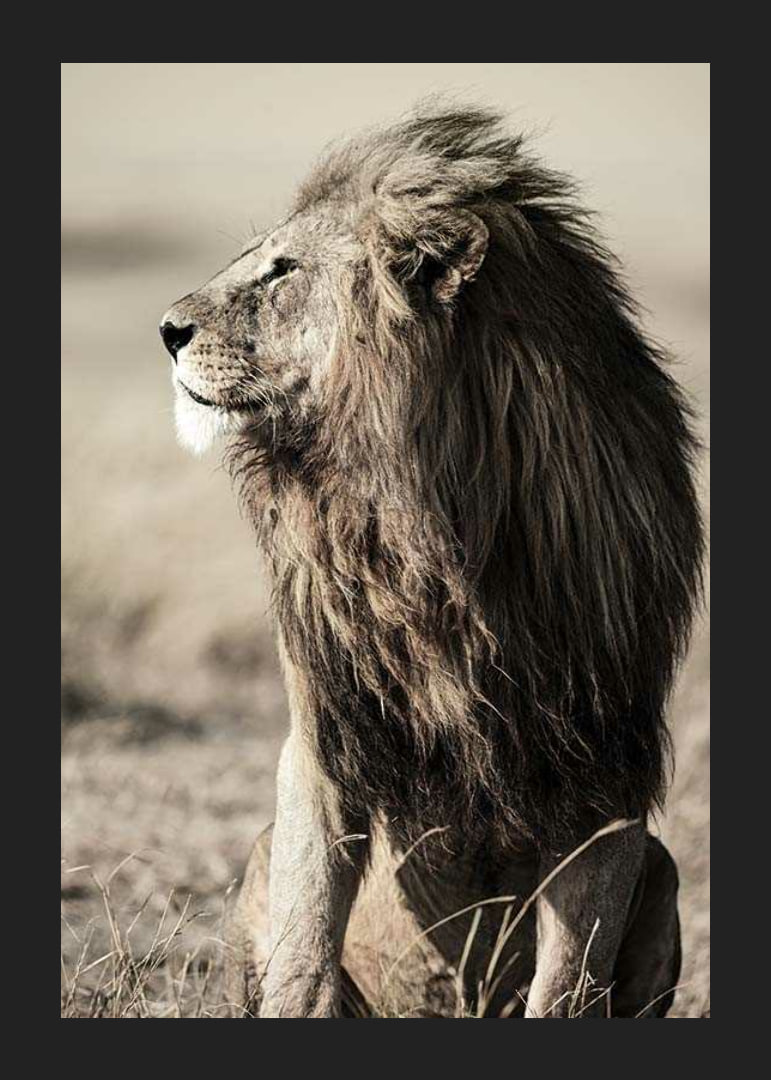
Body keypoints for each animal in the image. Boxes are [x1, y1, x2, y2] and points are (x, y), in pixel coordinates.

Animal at [160, 106, 702, 1018]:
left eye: (283, 270)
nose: (167, 330)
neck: (423, 521)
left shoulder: (609, 768)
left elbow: (566, 981)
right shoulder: (323, 733)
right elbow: (304, 947)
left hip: (661, 871)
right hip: (262, 851)